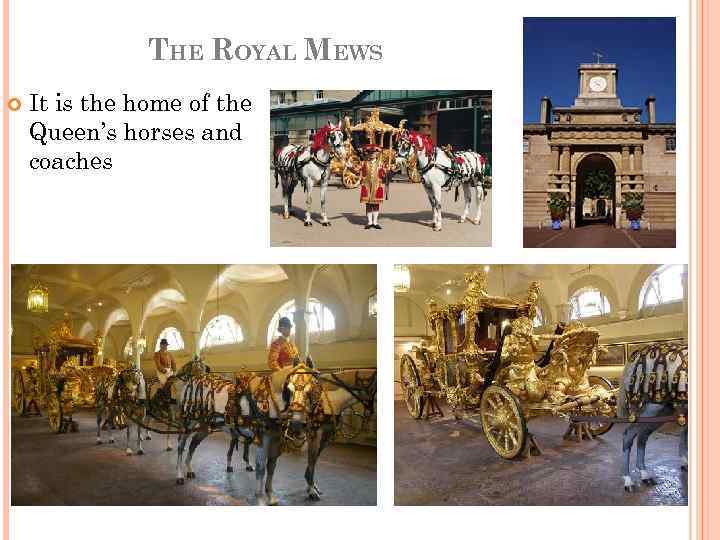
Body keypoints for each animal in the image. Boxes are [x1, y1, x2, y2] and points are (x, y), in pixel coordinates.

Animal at [616, 344, 688, 492]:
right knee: (629, 434)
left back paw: (644, 474)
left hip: (662, 410)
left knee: (642, 436)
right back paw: (628, 480)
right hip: (651, 408)